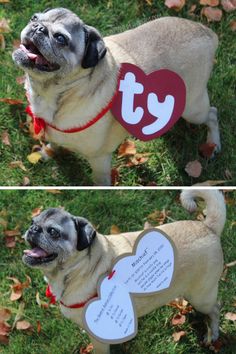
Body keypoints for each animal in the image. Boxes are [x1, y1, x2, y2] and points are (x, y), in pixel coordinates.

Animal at [12, 7, 220, 185]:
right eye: (34, 18)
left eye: (60, 38)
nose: (37, 27)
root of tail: (208, 33)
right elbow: (54, 142)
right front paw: (47, 152)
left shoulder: (100, 159)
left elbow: (100, 181)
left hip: (193, 109)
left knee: (212, 114)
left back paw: (213, 144)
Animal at [23, 191, 226, 354]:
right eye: (32, 222)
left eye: (53, 232)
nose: (32, 229)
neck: (83, 268)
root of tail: (208, 227)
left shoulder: (99, 340)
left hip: (202, 297)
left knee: (215, 310)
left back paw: (212, 334)